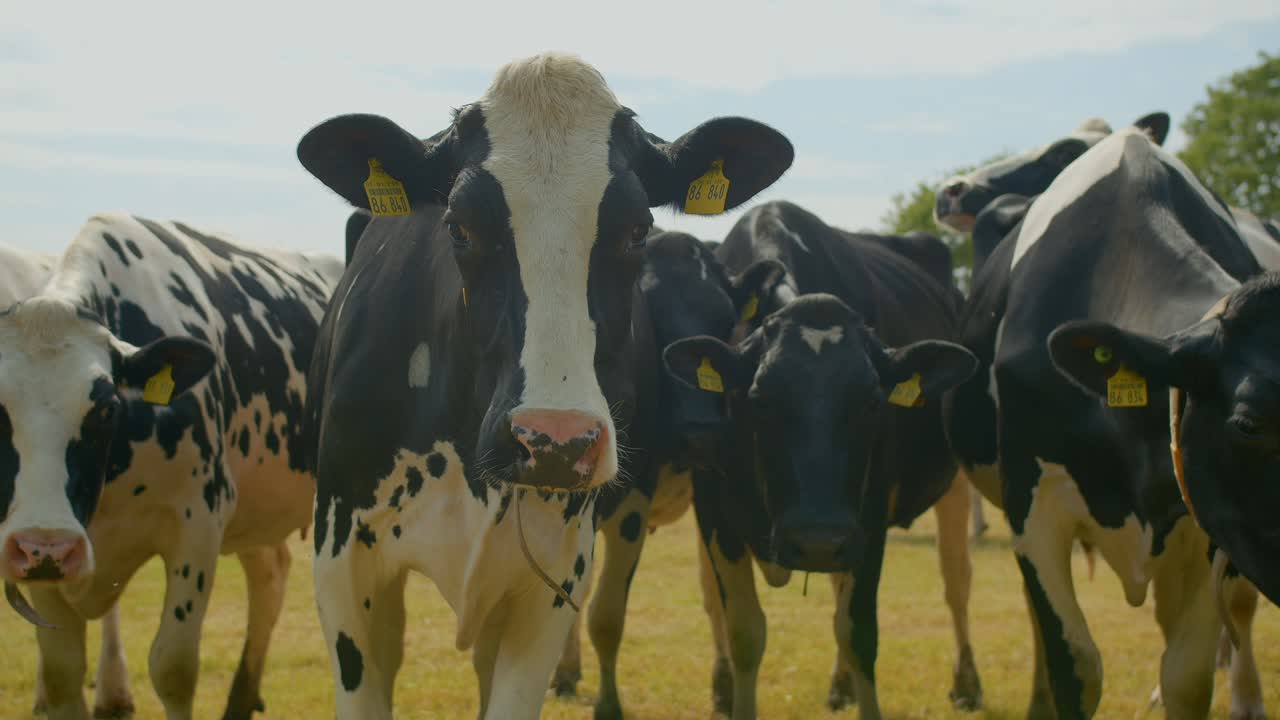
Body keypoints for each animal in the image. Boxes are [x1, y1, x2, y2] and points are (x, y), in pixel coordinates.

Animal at [0, 213, 342, 720]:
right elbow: (63, 673)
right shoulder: (38, 560)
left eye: (106, 409)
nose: (48, 545)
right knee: (270, 573)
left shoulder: (199, 520)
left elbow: (173, 668)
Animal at [662, 200, 978, 720]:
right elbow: (745, 630)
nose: (817, 539)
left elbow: (858, 633)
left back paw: (967, 682)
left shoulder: (868, 514)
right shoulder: (715, 513)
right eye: (759, 400)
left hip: (950, 484)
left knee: (956, 579)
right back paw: (840, 685)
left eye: (872, 402)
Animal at [940, 115, 1271, 718]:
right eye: (1247, 425)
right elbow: (1076, 667)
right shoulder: (1033, 505)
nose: (953, 190)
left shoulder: (1207, 521)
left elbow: (1187, 676)